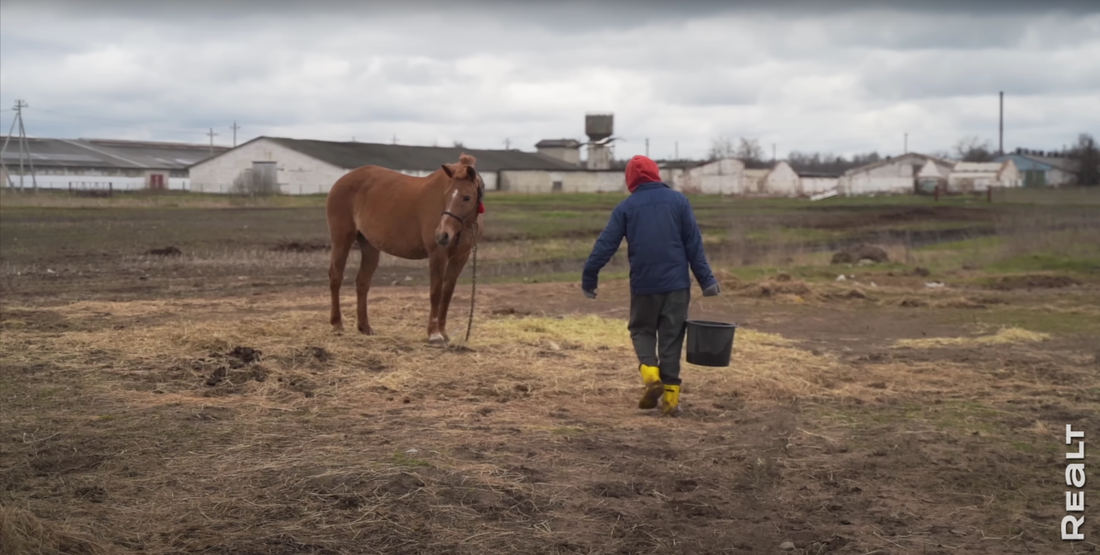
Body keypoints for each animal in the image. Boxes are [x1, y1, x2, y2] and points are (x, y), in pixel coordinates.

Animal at [323, 151, 484, 342]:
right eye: (446, 195)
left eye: (467, 197)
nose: (442, 235)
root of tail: (341, 180)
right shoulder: (437, 254)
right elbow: (436, 292)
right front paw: (434, 333)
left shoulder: (460, 257)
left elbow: (447, 293)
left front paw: (443, 332)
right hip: (342, 239)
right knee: (336, 277)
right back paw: (337, 324)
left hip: (370, 246)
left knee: (362, 282)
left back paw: (365, 327)